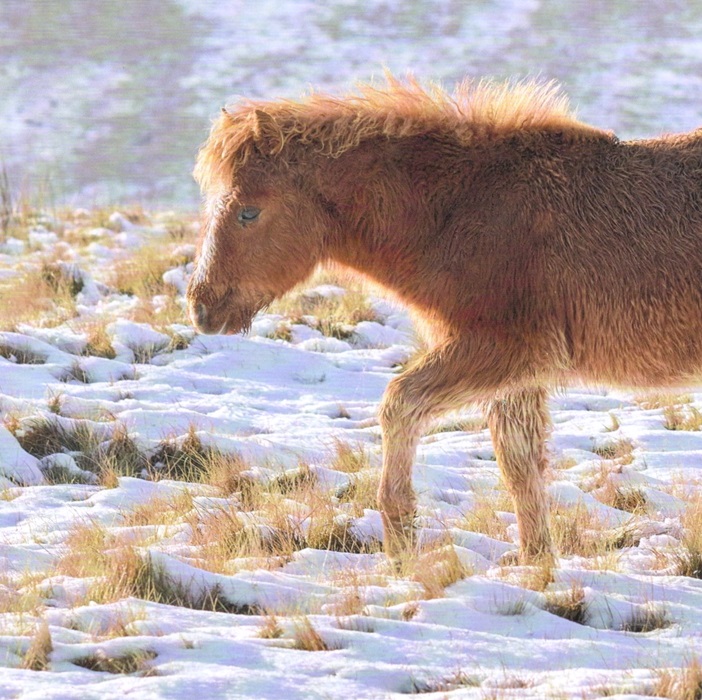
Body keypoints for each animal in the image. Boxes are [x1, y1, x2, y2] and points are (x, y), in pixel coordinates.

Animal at [186, 79, 702, 568]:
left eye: (249, 211)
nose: (202, 308)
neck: (462, 209)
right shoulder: (517, 377)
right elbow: (519, 465)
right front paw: (537, 566)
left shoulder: (502, 352)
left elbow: (399, 405)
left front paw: (401, 547)